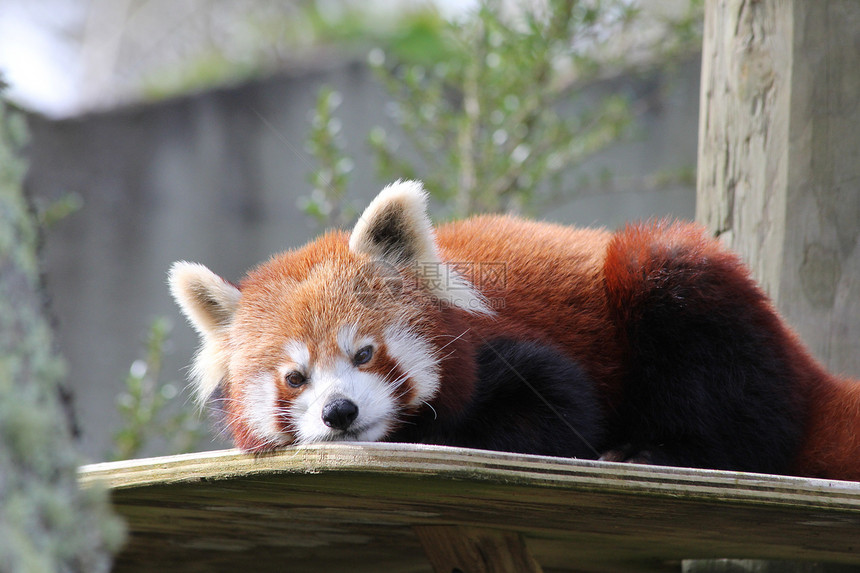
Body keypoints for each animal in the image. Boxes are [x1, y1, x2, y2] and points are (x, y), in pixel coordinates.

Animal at [168, 180, 860, 482]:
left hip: (688, 304)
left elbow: (559, 410)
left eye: (364, 353)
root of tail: (806, 367)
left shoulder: (505, 350)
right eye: (295, 377)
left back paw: (659, 450)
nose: (340, 412)